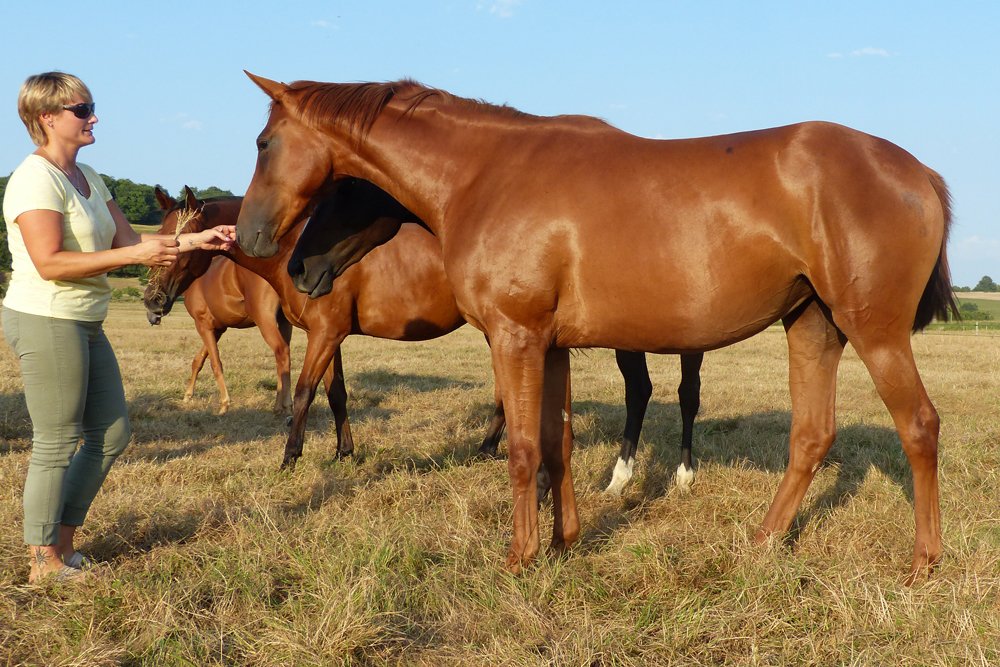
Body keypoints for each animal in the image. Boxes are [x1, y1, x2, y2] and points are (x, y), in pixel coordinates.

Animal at [145, 188, 292, 416]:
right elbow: (199, 360)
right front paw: (188, 395)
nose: (152, 301)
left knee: (281, 352)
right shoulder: (218, 328)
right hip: (284, 321)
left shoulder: (203, 324)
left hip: (265, 319)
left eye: (181, 241)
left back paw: (285, 407)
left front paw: (224, 404)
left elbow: (215, 362)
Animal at [234, 73, 958, 581]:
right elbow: (557, 445)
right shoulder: (550, 345)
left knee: (919, 426)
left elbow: (524, 448)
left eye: (266, 144)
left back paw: (922, 562)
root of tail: (918, 172)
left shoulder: (515, 337)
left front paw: (520, 557)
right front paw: (563, 543)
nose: (275, 252)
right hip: (812, 325)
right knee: (811, 436)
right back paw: (761, 541)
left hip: (874, 331)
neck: (487, 171)